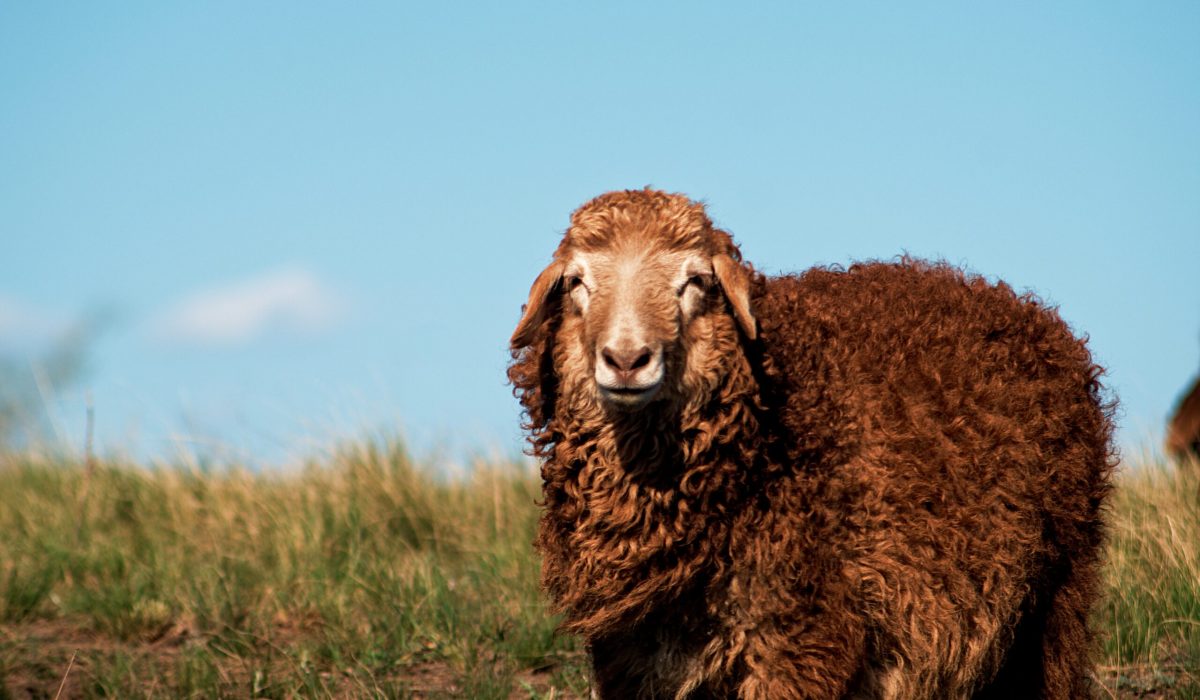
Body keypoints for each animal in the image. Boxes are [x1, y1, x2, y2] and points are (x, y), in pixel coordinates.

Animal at [508, 188, 1116, 699]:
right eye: (578, 283)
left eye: (696, 282)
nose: (627, 360)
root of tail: (1030, 312)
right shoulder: (633, 655)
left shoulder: (799, 639)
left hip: (1056, 594)